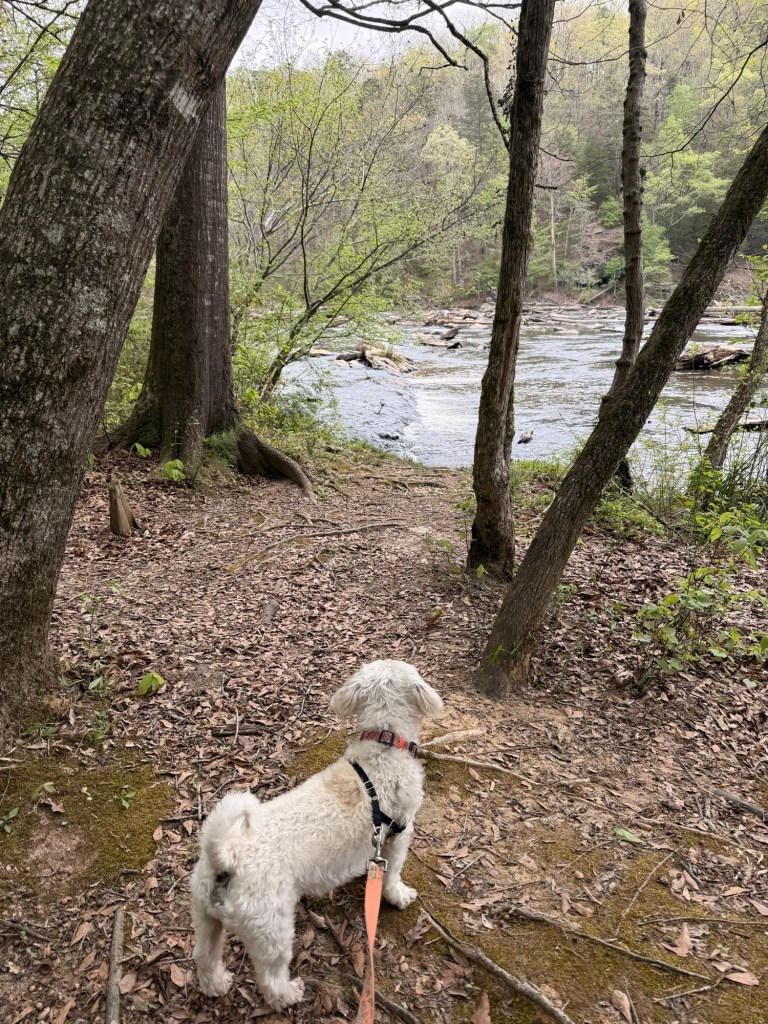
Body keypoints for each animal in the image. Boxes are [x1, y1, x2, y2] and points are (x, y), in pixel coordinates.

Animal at [190, 659, 443, 1010]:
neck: (383, 746)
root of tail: (226, 857)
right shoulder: (400, 833)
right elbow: (392, 875)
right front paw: (399, 895)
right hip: (272, 928)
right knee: (270, 978)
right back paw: (290, 995)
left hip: (205, 917)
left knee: (203, 955)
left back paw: (216, 984)